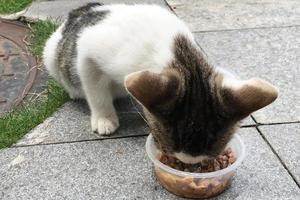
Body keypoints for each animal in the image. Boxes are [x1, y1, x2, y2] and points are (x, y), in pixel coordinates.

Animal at [43, 2, 278, 163]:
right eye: (165, 148)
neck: (179, 50)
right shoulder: (88, 49)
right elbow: (95, 90)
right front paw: (104, 118)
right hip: (51, 52)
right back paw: (76, 92)